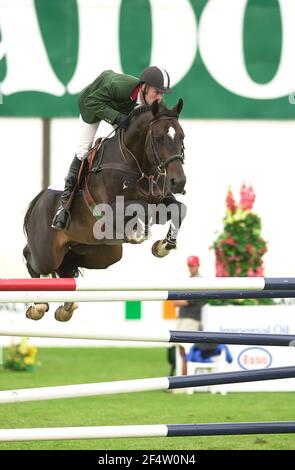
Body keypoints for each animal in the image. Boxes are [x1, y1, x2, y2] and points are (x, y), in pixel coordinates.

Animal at [23, 98, 187, 322]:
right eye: (159, 138)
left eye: (182, 136)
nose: (179, 182)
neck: (136, 163)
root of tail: (38, 202)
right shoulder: (113, 211)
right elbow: (142, 208)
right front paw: (139, 233)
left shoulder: (162, 199)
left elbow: (179, 209)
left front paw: (163, 246)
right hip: (47, 252)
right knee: (33, 259)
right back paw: (38, 305)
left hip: (100, 253)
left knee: (67, 266)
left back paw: (66, 308)